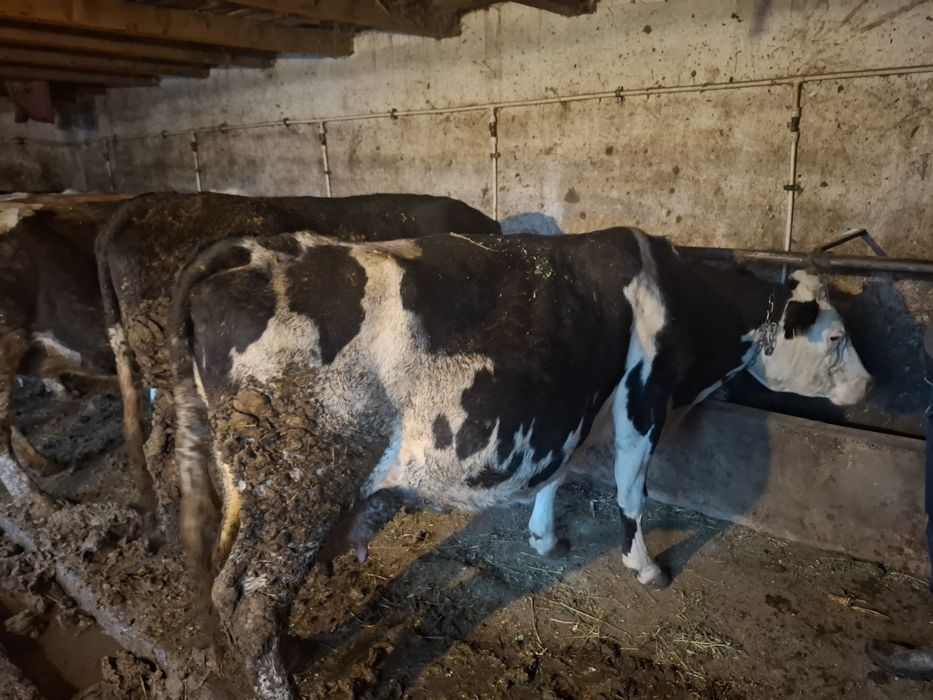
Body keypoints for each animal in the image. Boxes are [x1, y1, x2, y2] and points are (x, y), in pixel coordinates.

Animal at [168, 226, 871, 698]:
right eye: (837, 335)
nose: (868, 385)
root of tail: (253, 252)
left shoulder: (573, 402)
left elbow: (558, 471)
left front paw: (544, 537)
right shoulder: (644, 394)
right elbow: (631, 489)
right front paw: (645, 567)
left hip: (250, 481)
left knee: (230, 583)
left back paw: (296, 648)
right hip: (300, 484)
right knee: (254, 603)